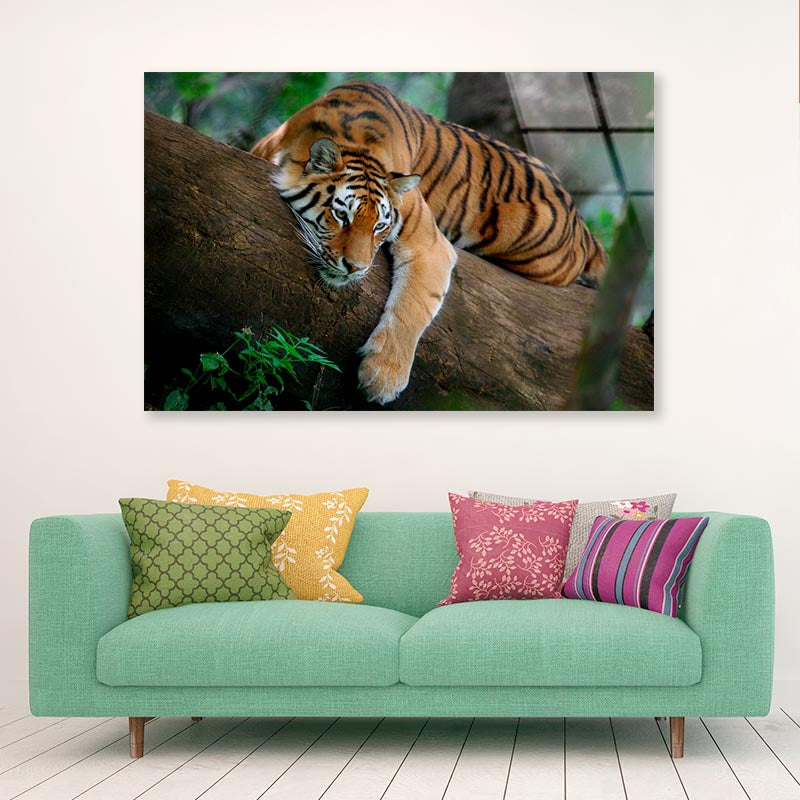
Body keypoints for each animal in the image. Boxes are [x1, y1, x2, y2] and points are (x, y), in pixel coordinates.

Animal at [251, 81, 606, 405]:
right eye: (341, 216)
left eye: (380, 226)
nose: (355, 268)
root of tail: (580, 221)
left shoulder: (430, 244)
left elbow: (412, 307)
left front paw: (383, 378)